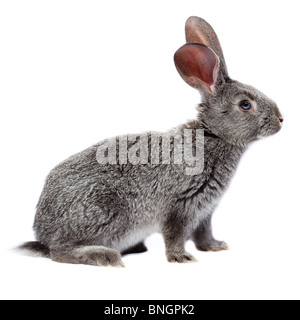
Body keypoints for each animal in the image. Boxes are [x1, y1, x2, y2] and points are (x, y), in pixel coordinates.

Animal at [19, 17, 282, 268]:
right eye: (245, 105)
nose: (281, 119)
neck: (212, 135)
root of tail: (42, 231)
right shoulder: (180, 206)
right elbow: (175, 235)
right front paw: (181, 258)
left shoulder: (204, 211)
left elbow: (203, 234)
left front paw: (216, 247)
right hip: (105, 211)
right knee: (59, 251)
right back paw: (105, 257)